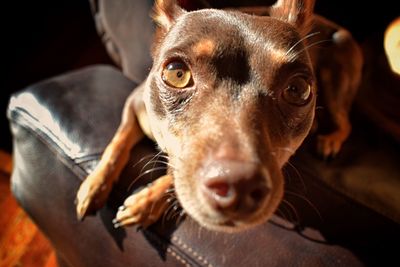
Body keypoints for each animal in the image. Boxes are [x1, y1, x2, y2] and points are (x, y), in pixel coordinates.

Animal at [74, 0, 362, 233]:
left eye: (298, 89)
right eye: (177, 73)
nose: (239, 186)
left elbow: (174, 174)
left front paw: (146, 202)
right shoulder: (133, 106)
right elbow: (116, 145)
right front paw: (94, 185)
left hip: (337, 77)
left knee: (347, 122)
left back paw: (331, 139)